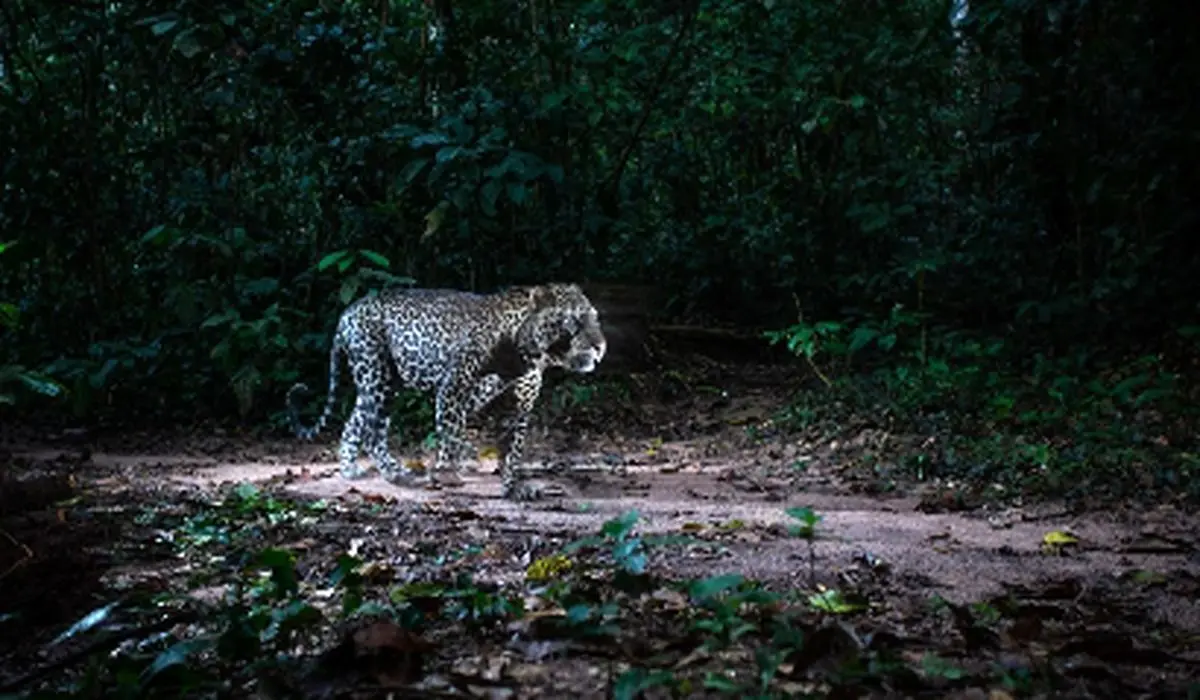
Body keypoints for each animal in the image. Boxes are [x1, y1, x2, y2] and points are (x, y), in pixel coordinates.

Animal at [284, 282, 604, 501]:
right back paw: (395, 473)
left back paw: (351, 469)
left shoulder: (517, 407)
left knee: (357, 421)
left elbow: (512, 449)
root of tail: (347, 312)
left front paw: (513, 487)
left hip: (383, 382)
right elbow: (451, 433)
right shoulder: (454, 389)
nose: (601, 347)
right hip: (377, 374)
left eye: (595, 318)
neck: (529, 354)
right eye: (574, 321)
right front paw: (448, 472)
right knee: (373, 431)